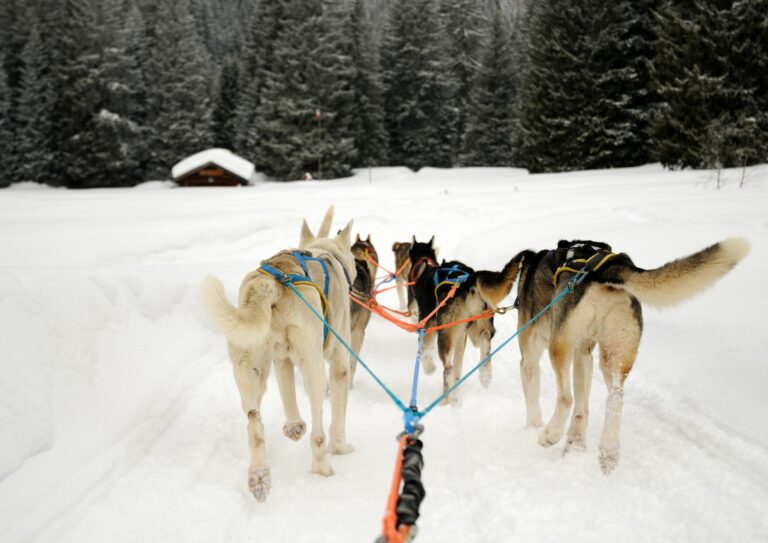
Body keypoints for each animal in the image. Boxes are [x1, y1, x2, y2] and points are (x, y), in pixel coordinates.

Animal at [198, 207, 354, 502]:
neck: (323, 251)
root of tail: (269, 282)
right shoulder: (339, 364)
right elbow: (338, 416)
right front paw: (341, 446)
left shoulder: (282, 360)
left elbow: (288, 394)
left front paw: (293, 426)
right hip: (314, 368)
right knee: (318, 432)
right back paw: (321, 465)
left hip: (251, 369)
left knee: (254, 424)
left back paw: (259, 474)